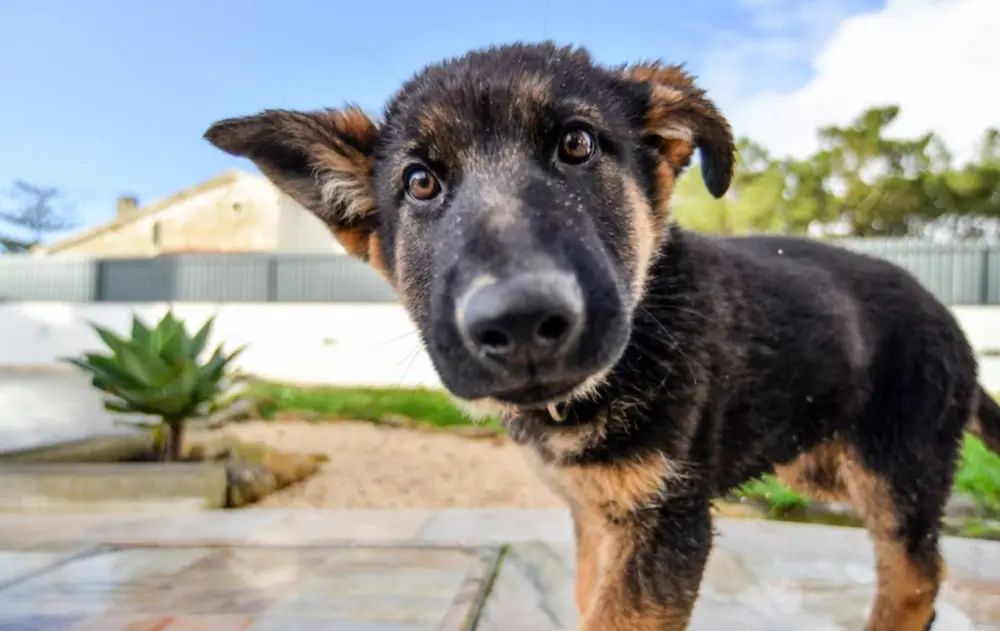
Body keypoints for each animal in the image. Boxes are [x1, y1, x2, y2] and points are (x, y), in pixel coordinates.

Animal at [205, 42, 1000, 628]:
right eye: (421, 183)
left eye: (578, 145)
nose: (521, 322)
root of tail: (947, 315)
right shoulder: (596, 513)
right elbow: (589, 597)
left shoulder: (668, 525)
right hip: (819, 460)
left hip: (896, 472)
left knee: (917, 575)